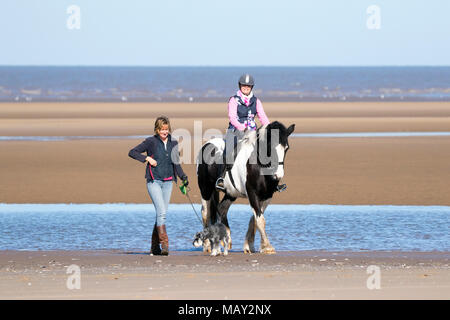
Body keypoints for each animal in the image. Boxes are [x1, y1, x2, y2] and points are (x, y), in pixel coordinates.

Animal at [196, 121, 296, 254]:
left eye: (286, 148)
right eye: (270, 148)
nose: (278, 175)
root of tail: (207, 145)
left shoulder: (267, 196)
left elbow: (255, 219)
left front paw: (249, 246)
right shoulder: (252, 193)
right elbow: (260, 220)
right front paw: (267, 247)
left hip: (231, 193)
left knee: (222, 208)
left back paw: (226, 239)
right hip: (205, 190)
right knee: (205, 213)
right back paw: (207, 245)